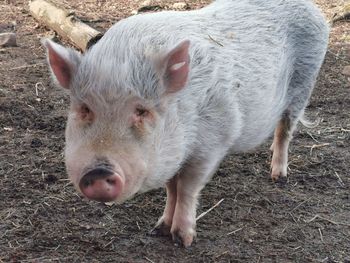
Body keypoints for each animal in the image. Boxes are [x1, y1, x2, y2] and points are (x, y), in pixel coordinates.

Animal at [42, 0, 330, 248]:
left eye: (142, 111)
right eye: (84, 109)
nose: (99, 171)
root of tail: (313, 9)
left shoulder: (212, 144)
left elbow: (188, 188)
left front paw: (183, 240)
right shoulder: (173, 152)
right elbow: (172, 188)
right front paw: (158, 228)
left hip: (305, 84)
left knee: (285, 130)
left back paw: (278, 176)